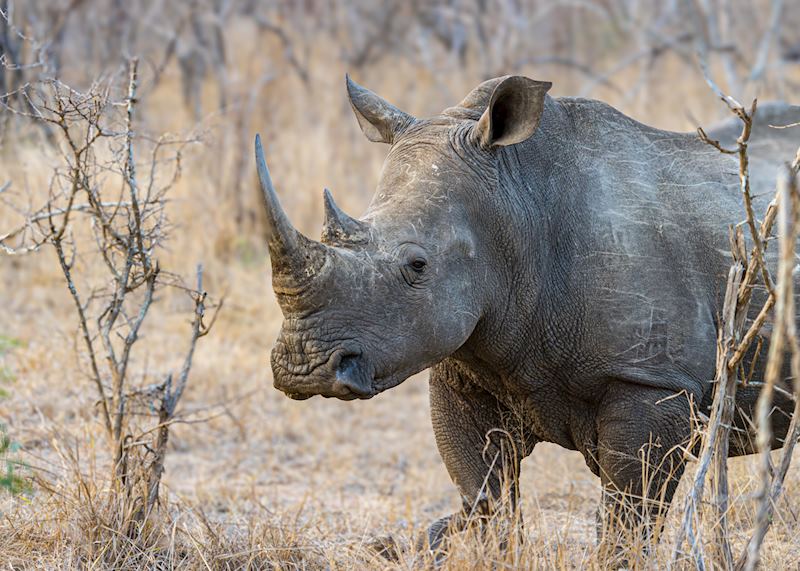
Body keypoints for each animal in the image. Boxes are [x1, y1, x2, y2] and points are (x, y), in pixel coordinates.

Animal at [254, 75, 800, 552]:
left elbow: (629, 518)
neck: (517, 208)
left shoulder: (652, 379)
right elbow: (485, 499)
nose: (304, 369)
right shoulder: (466, 368)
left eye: (417, 265)